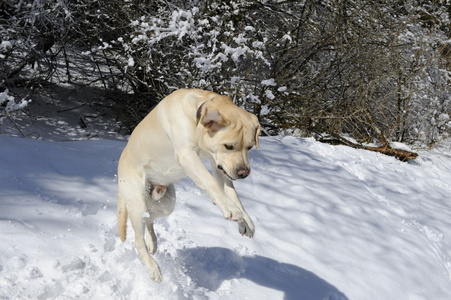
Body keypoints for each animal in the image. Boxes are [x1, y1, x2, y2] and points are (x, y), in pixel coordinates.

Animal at [116, 88, 262, 282]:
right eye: (229, 146)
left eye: (250, 147)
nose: (244, 173)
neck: (195, 117)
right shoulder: (188, 156)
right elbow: (210, 183)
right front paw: (230, 209)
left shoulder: (218, 164)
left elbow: (233, 194)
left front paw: (245, 221)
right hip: (137, 202)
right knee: (138, 240)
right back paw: (153, 268)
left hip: (166, 204)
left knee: (149, 220)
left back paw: (152, 242)